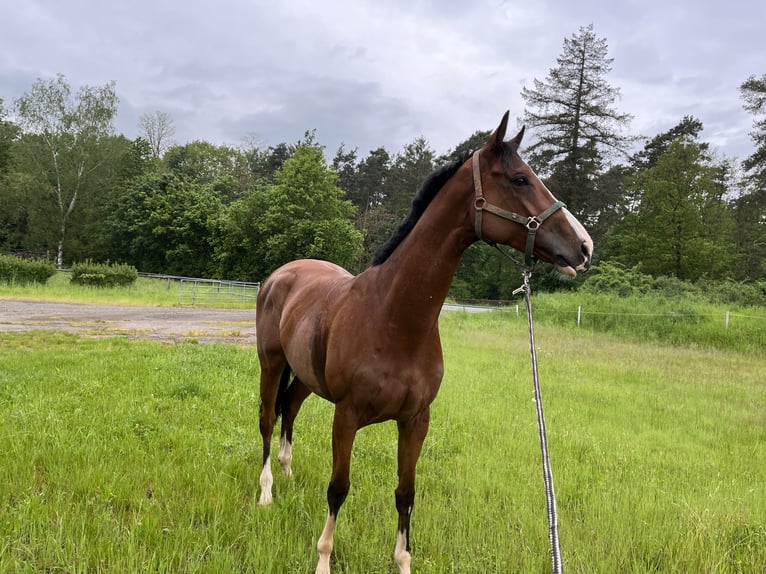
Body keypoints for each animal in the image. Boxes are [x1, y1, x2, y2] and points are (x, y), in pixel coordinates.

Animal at [256, 110, 592, 572]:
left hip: (306, 376)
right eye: (520, 179)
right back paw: (267, 491)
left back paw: (288, 473)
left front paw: (403, 561)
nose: (584, 247)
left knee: (289, 409)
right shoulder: (347, 416)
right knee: (268, 419)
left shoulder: (416, 420)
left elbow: (405, 494)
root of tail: (282, 274)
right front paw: (323, 559)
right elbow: (338, 487)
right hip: (271, 363)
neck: (393, 317)